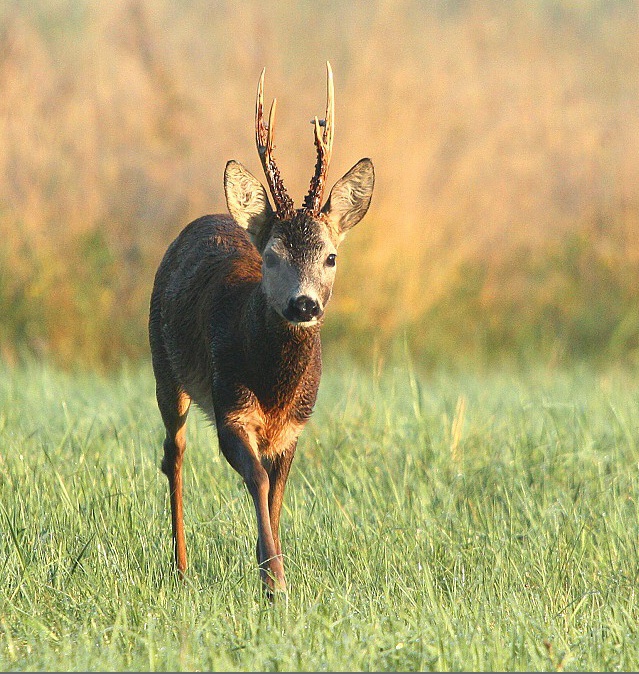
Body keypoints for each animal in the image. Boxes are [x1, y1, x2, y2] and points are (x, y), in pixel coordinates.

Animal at [148, 62, 374, 596]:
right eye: (271, 256)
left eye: (330, 256)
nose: (304, 303)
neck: (274, 389)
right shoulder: (230, 405)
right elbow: (257, 480)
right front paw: (275, 579)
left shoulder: (295, 427)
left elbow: (277, 493)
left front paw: (268, 571)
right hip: (165, 365)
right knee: (173, 454)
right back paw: (180, 565)